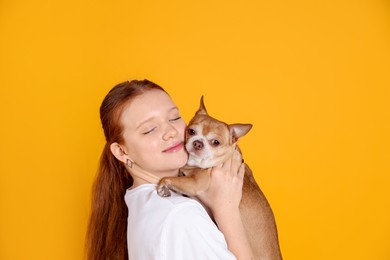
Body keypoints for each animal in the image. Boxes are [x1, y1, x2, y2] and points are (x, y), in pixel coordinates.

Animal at [157, 96, 282, 258]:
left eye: (215, 142)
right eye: (191, 131)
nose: (198, 143)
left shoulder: (196, 183)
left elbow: (171, 178)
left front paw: (163, 184)